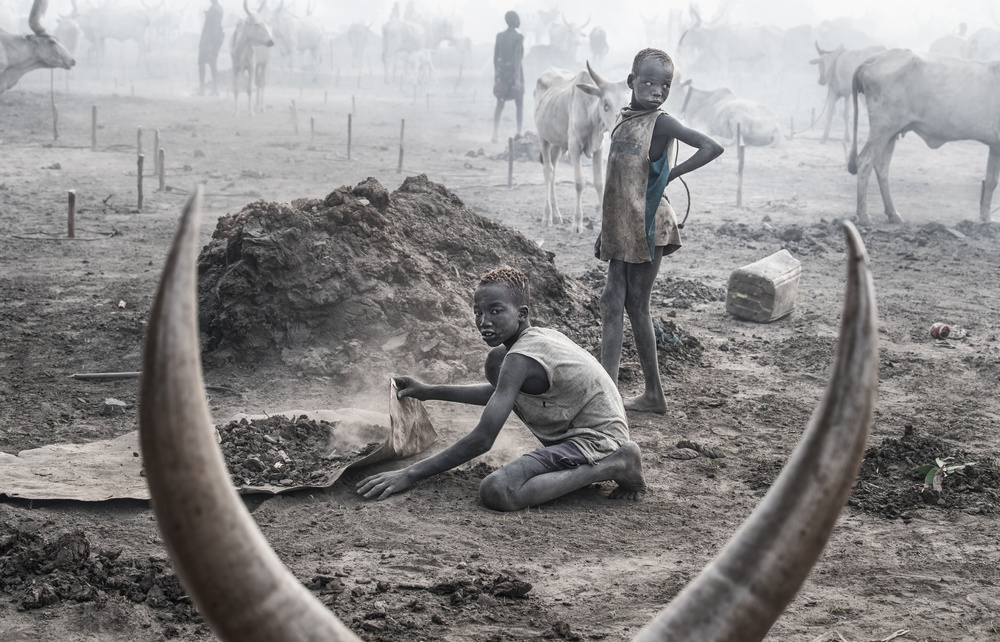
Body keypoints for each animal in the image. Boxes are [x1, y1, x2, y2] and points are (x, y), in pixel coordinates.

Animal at [139, 185, 876, 640]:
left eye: (495, 305)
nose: (487, 321)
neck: (525, 329)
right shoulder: (502, 356)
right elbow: (477, 393)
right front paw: (413, 389)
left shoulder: (519, 363)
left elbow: (489, 429)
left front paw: (394, 476)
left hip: (572, 449)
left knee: (515, 481)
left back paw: (626, 467)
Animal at [536, 62, 628, 232]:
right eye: (606, 105)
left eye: (626, 105)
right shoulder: (574, 146)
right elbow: (579, 182)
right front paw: (577, 223)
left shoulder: (599, 148)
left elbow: (599, 183)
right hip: (543, 138)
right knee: (548, 171)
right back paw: (547, 216)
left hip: (557, 143)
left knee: (554, 170)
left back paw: (557, 215)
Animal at [848, 48, 1000, 222]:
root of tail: (876, 57)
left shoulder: (995, 146)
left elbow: (991, 181)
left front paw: (986, 218)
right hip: (882, 129)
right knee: (865, 162)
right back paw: (864, 215)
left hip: (890, 133)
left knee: (881, 167)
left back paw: (893, 214)